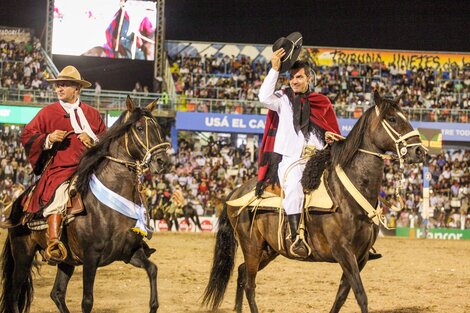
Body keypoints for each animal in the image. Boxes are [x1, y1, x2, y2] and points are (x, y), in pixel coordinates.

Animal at [0, 96, 171, 310]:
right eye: (139, 128)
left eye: (158, 128)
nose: (162, 161)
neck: (108, 209)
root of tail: (18, 203)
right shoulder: (91, 258)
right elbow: (87, 301)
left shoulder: (130, 253)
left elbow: (153, 269)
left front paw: (153, 305)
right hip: (23, 255)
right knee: (14, 296)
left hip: (67, 261)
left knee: (57, 293)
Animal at [204, 92, 428, 312]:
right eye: (392, 119)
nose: (420, 151)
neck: (347, 195)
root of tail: (236, 192)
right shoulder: (343, 252)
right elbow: (360, 295)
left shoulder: (361, 256)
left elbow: (341, 296)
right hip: (252, 246)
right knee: (249, 284)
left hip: (269, 250)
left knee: (242, 274)